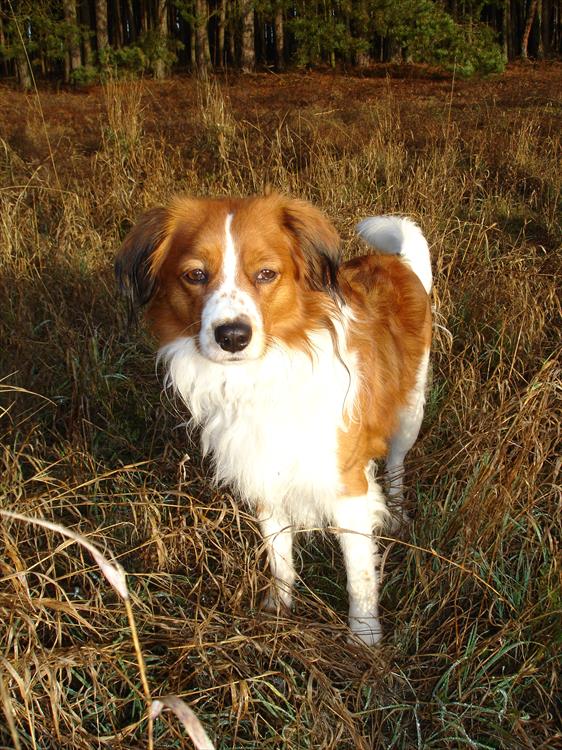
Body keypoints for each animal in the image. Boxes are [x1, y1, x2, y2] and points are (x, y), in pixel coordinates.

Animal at [116, 194, 432, 645]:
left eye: (266, 274)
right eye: (195, 275)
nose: (232, 336)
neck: (261, 377)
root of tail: (397, 263)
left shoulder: (347, 486)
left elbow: (358, 575)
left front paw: (365, 637)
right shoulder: (262, 471)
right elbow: (278, 553)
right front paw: (278, 610)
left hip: (409, 413)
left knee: (396, 464)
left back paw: (398, 513)